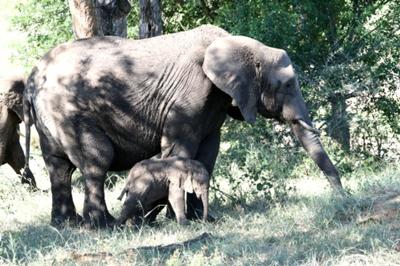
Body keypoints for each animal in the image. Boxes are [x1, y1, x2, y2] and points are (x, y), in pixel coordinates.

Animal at [23, 25, 344, 228]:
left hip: (50, 118)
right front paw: (176, 220)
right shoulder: (190, 93)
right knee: (96, 159)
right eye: (288, 84)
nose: (343, 197)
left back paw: (66, 224)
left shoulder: (216, 99)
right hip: (69, 110)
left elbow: (208, 152)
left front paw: (201, 218)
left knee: (58, 167)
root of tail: (31, 78)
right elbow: (181, 147)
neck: (237, 43)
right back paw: (103, 225)